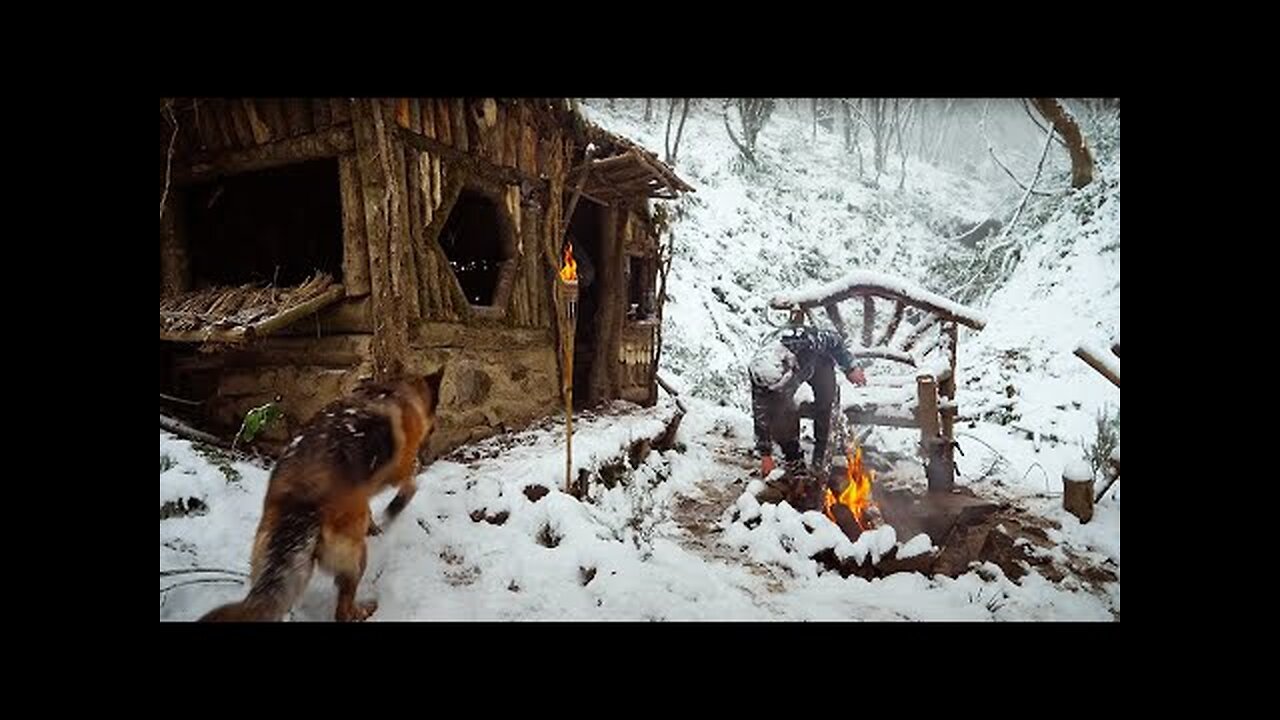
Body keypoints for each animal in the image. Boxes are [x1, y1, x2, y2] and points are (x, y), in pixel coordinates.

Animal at [197, 366, 442, 620]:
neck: (398, 392)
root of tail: (301, 504)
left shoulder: (364, 492)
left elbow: (370, 507)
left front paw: (373, 524)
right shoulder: (399, 471)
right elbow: (410, 484)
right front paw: (394, 508)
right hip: (356, 558)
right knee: (343, 610)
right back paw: (363, 610)